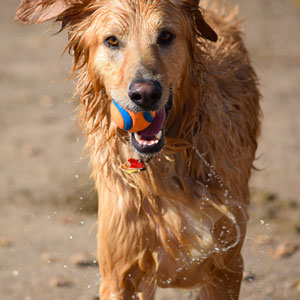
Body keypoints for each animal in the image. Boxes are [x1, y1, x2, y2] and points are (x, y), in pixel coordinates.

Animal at [15, 1, 260, 298]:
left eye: (165, 36)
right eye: (112, 41)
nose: (145, 94)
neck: (164, 166)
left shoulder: (226, 265)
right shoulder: (120, 272)